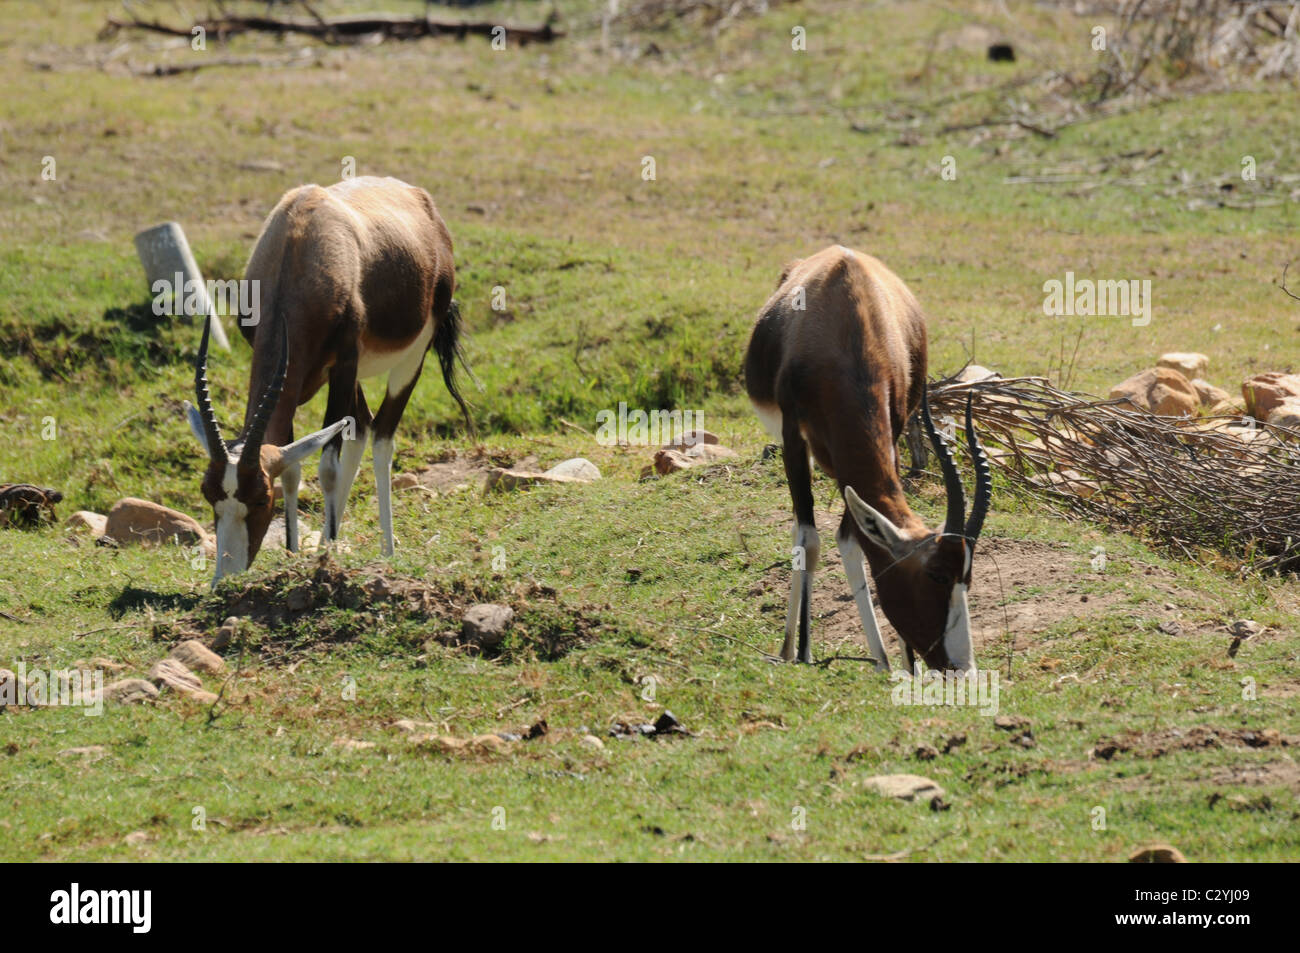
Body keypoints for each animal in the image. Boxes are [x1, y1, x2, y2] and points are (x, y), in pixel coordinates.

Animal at [180, 174, 470, 582]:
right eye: (208, 493)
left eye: (260, 497)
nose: (227, 576)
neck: (301, 241)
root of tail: (419, 199)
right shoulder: (306, 373)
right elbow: (293, 464)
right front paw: (294, 552)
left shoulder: (345, 362)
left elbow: (326, 465)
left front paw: (326, 559)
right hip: (351, 376)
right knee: (361, 427)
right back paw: (324, 545)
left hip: (409, 355)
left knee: (382, 435)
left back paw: (385, 549)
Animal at [748, 245, 987, 676]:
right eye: (936, 575)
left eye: (968, 578)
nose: (962, 667)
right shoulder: (793, 435)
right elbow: (809, 539)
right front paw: (803, 650)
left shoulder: (889, 432)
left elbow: (853, 538)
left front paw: (894, 662)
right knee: (800, 529)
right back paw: (790, 646)